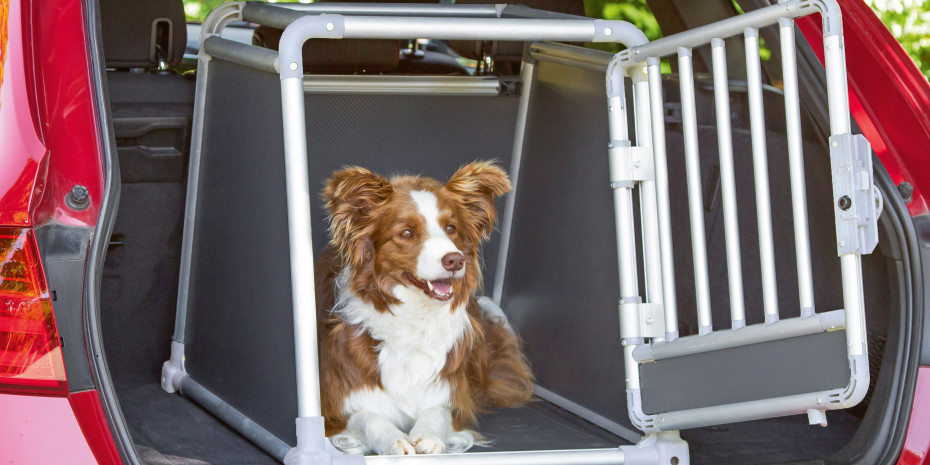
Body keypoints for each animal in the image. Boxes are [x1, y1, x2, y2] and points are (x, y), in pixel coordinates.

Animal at [316, 160, 532, 454]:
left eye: (451, 228)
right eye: (406, 233)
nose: (455, 260)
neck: (413, 318)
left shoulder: (455, 400)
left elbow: (437, 412)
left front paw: (428, 436)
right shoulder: (333, 410)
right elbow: (369, 417)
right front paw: (394, 441)